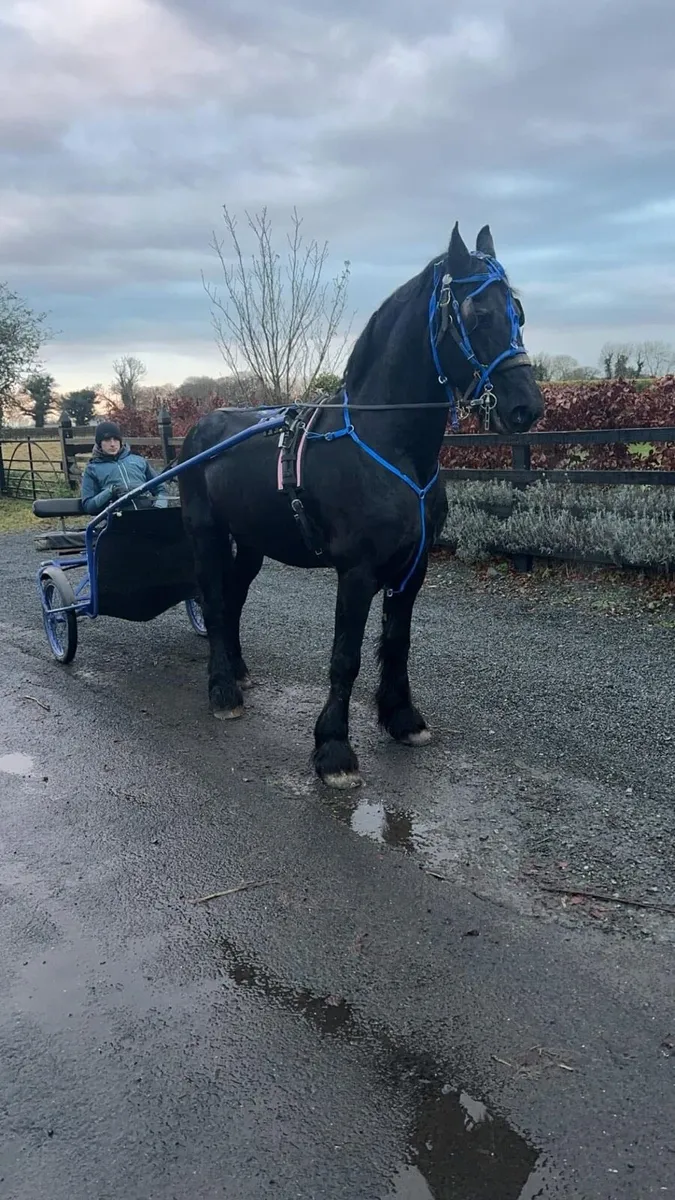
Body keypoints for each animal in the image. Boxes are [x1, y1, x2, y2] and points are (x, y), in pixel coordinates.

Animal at [178, 223, 544, 788]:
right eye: (478, 313)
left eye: (518, 312)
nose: (526, 406)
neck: (385, 443)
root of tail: (203, 426)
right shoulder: (356, 571)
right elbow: (345, 657)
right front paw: (334, 750)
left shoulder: (412, 568)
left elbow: (397, 643)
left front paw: (403, 719)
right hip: (206, 533)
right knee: (215, 603)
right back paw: (222, 690)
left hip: (254, 542)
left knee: (234, 599)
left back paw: (237, 671)